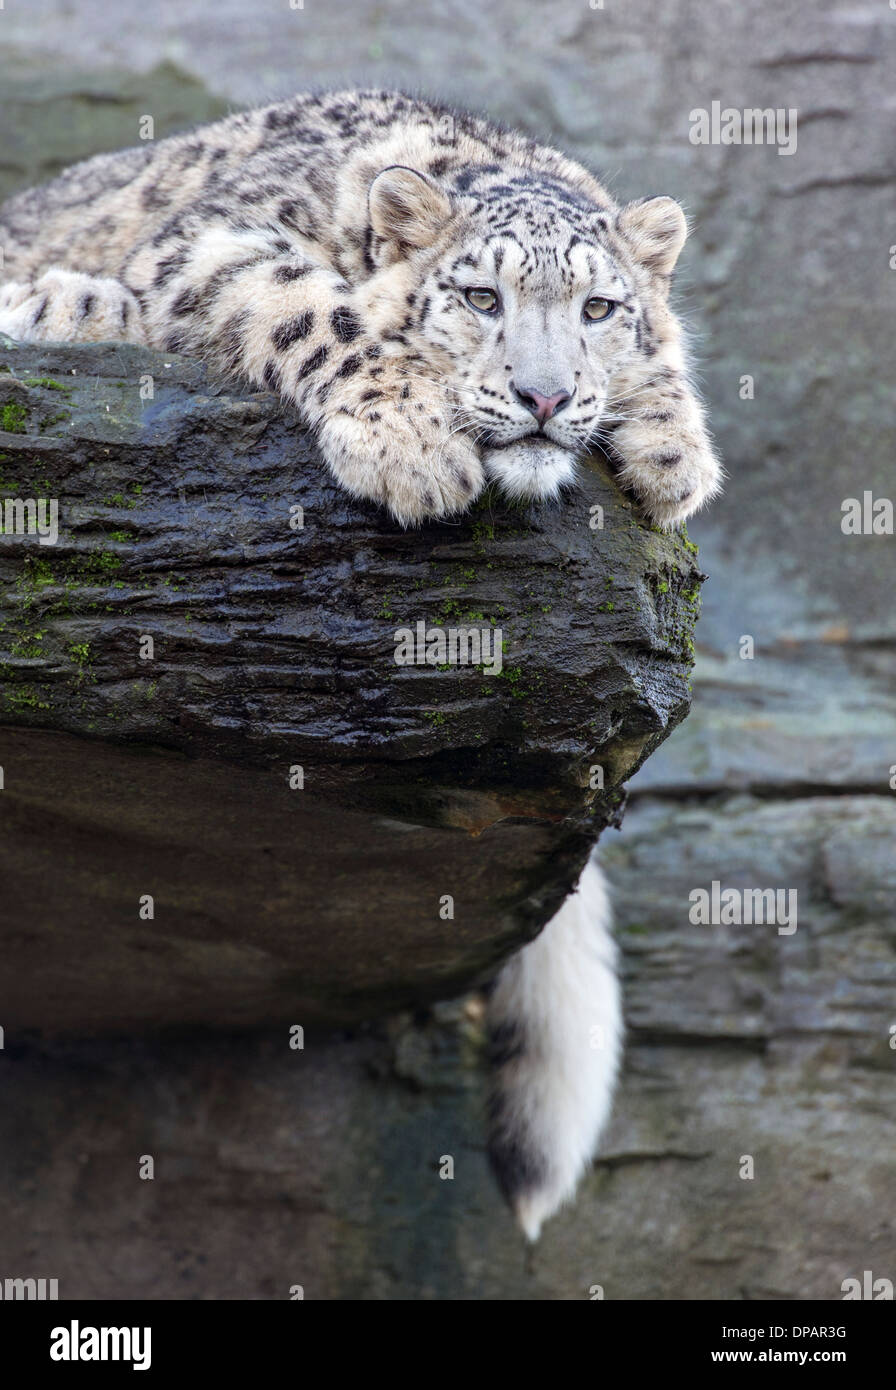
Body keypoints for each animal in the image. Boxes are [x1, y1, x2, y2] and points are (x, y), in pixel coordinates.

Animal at [0, 86, 722, 1239]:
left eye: (601, 309)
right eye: (479, 295)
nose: (544, 398)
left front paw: (670, 442)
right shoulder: (216, 239)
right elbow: (309, 301)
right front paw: (411, 444)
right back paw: (62, 301)